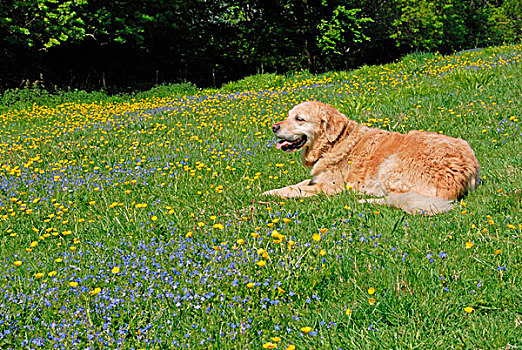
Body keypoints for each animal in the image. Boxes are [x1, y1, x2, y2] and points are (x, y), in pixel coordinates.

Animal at [262, 101, 478, 215]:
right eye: (289, 115)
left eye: (299, 119)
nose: (273, 127)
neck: (335, 142)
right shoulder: (318, 179)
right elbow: (296, 185)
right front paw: (270, 191)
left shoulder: (329, 187)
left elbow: (295, 191)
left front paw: (269, 195)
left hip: (389, 166)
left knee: (393, 199)